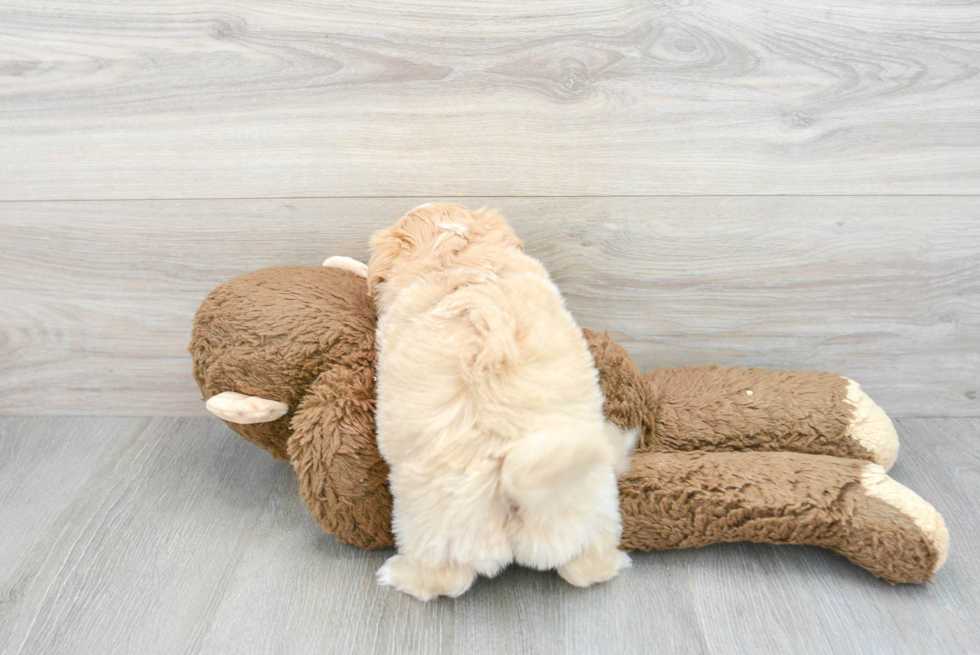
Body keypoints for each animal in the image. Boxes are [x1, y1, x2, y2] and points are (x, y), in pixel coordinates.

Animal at [368, 204, 636, 600]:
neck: (458, 257)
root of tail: (513, 483)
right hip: (592, 510)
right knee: (586, 567)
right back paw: (614, 562)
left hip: (429, 527)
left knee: (446, 579)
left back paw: (398, 575)